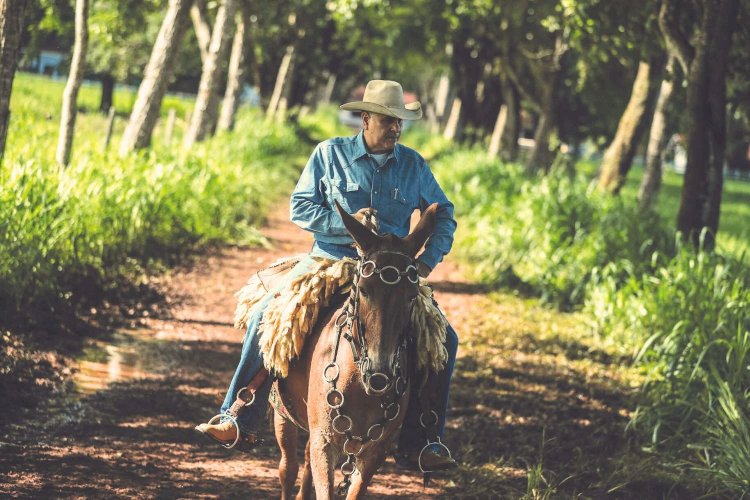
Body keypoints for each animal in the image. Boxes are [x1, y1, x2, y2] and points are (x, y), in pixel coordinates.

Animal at [274, 201, 440, 498]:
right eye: (363, 289)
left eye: (411, 296)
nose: (379, 373)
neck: (361, 385)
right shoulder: (324, 441)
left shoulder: (374, 452)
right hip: (282, 412)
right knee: (288, 467)